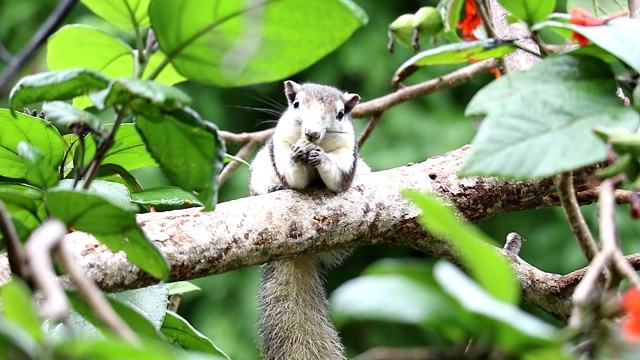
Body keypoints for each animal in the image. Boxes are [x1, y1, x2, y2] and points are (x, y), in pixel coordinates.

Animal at [250, 81, 370, 360]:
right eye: (296, 104)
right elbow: (294, 178)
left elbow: (336, 178)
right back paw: (271, 188)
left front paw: (321, 157)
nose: (312, 133)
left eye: (340, 113)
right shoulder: (280, 144)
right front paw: (297, 157)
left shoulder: (347, 154)